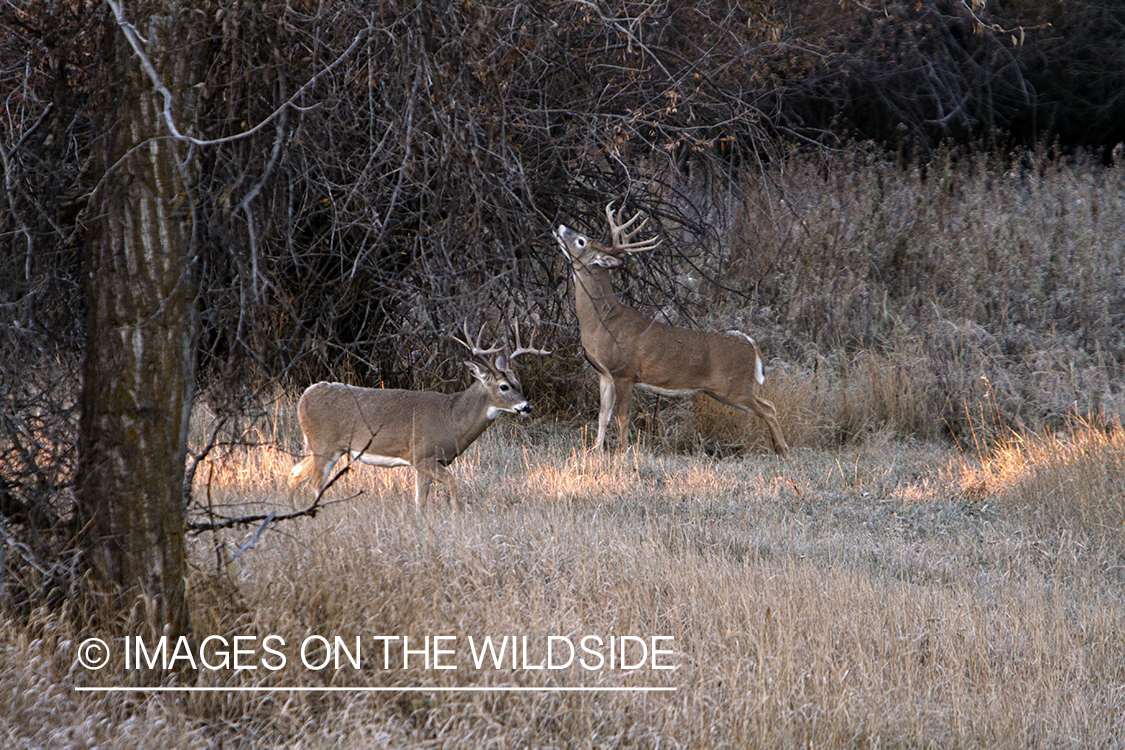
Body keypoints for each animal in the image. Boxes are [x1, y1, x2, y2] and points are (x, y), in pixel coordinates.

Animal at [288, 323, 551, 510]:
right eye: (504, 386)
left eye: (519, 383)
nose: (526, 407)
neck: (451, 419)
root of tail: (304, 397)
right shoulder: (422, 455)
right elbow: (452, 485)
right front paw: (456, 519)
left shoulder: (431, 461)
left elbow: (419, 500)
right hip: (325, 444)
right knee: (313, 485)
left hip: (324, 446)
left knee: (293, 474)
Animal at [555, 202, 792, 454]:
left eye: (581, 240)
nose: (559, 226)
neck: (601, 322)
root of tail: (750, 343)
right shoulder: (605, 374)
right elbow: (603, 416)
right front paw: (596, 451)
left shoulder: (624, 372)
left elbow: (622, 418)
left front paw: (624, 452)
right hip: (725, 389)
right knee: (768, 407)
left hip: (733, 386)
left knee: (768, 408)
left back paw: (784, 451)